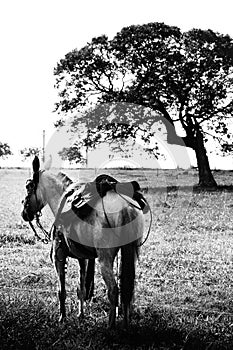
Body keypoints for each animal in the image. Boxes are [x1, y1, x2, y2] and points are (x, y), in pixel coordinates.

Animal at [22, 156, 146, 328]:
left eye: (29, 186)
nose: (24, 214)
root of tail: (125, 207)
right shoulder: (83, 258)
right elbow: (81, 288)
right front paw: (81, 315)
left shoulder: (58, 257)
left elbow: (61, 290)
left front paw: (62, 318)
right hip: (128, 255)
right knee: (127, 288)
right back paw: (126, 325)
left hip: (105, 259)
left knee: (113, 290)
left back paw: (111, 326)